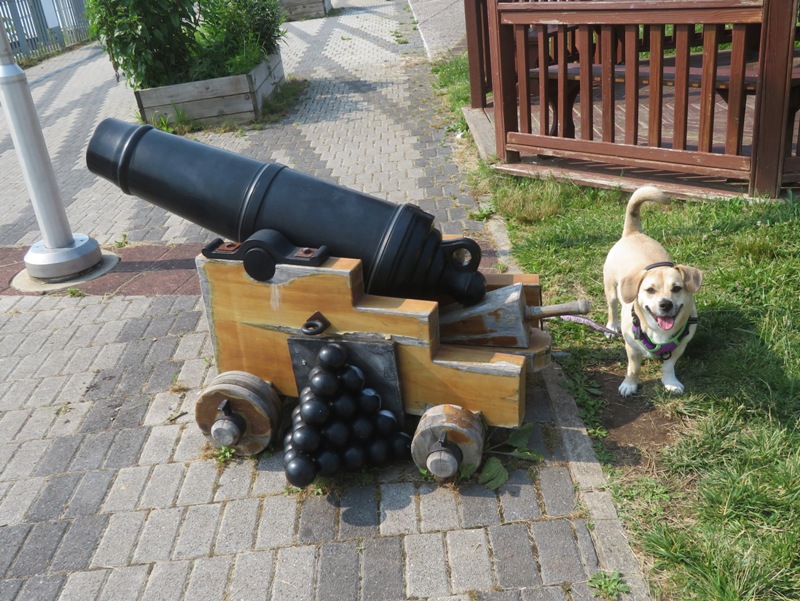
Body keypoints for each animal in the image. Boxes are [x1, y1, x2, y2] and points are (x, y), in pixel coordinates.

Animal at [604, 185, 704, 396]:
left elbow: (669, 366)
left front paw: (670, 382)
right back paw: (611, 326)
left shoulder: (679, 347)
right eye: (650, 290)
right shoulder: (632, 348)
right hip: (611, 289)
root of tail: (633, 233)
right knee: (612, 307)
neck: (658, 331)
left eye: (677, 288)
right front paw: (630, 384)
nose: (665, 304)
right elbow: (634, 368)